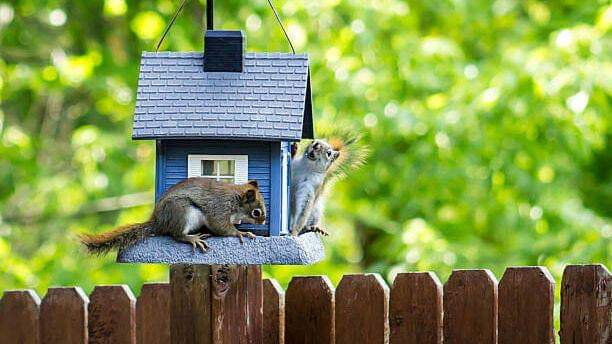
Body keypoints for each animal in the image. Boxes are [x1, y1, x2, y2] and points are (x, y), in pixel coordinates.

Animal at [79, 179, 266, 254]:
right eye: (256, 212)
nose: (264, 221)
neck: (235, 199)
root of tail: (158, 222)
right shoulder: (219, 208)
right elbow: (221, 226)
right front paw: (241, 233)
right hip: (181, 212)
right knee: (176, 235)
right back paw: (192, 238)